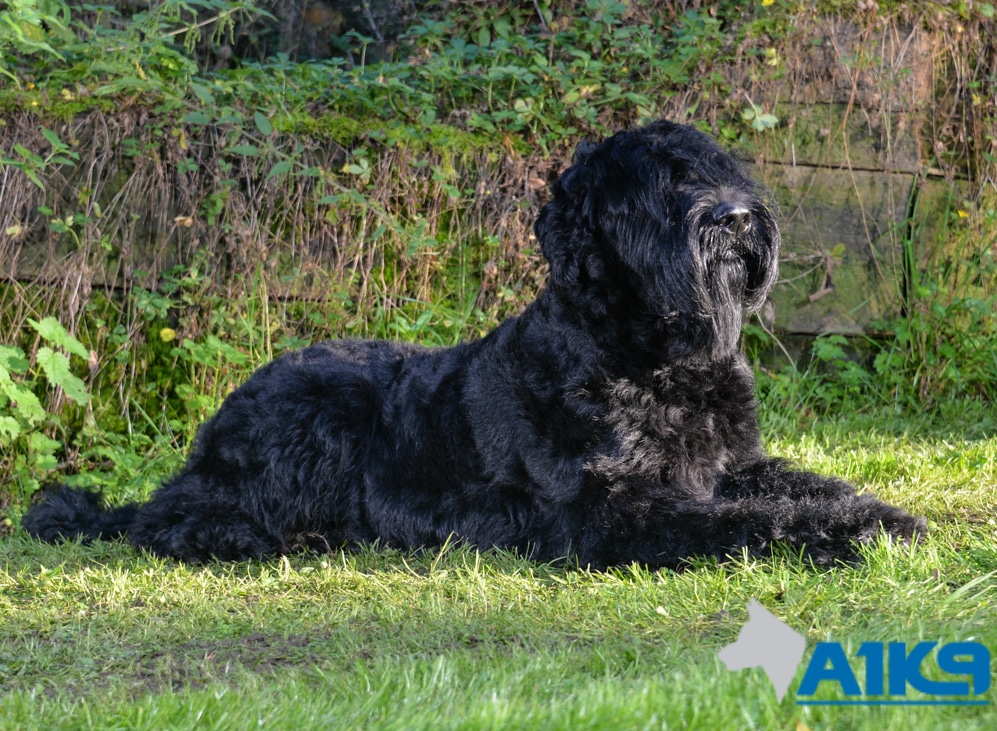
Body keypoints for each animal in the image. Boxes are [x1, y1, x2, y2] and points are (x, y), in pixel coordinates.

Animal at [21, 120, 924, 568]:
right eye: (657, 182)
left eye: (716, 166)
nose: (734, 218)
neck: (650, 356)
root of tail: (220, 419)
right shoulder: (614, 511)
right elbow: (746, 523)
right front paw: (846, 534)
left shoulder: (734, 464)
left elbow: (803, 485)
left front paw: (876, 512)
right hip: (317, 418)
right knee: (164, 517)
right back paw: (252, 537)